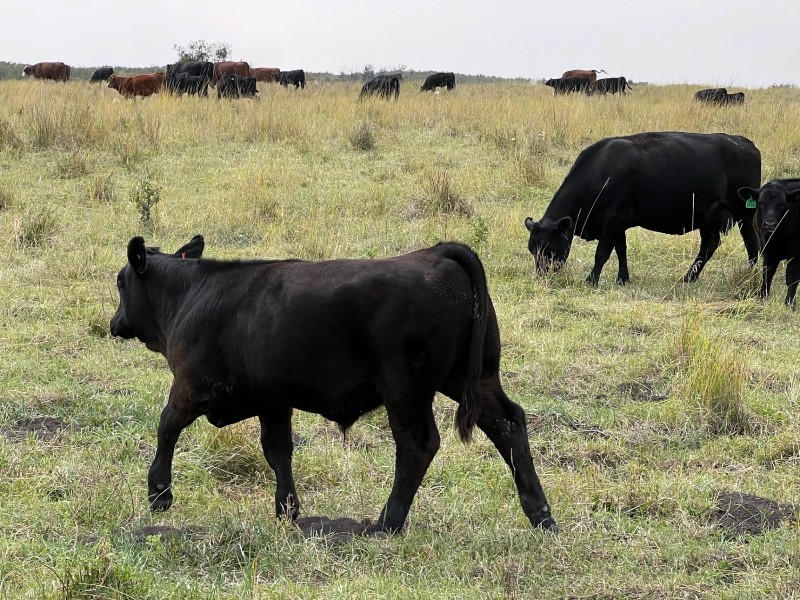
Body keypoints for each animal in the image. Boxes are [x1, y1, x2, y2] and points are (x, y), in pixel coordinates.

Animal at [109, 236, 556, 534]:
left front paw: (159, 493)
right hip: (473, 376)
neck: (192, 294)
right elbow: (278, 451)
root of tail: (436, 252)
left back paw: (387, 523)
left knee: (417, 444)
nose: (115, 323)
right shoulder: (274, 400)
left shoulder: (192, 385)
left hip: (405, 388)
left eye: (120, 283)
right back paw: (541, 514)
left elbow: (166, 426)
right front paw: (287, 510)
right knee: (508, 424)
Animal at [524, 132, 761, 286]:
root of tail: (744, 142)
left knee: (752, 245)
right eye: (532, 249)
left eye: (549, 248)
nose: (542, 277)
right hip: (708, 217)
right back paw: (689, 277)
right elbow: (620, 250)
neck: (602, 172)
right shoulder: (617, 224)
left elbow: (602, 252)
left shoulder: (614, 219)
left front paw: (591, 280)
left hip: (744, 214)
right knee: (709, 246)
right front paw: (622, 278)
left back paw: (750, 275)